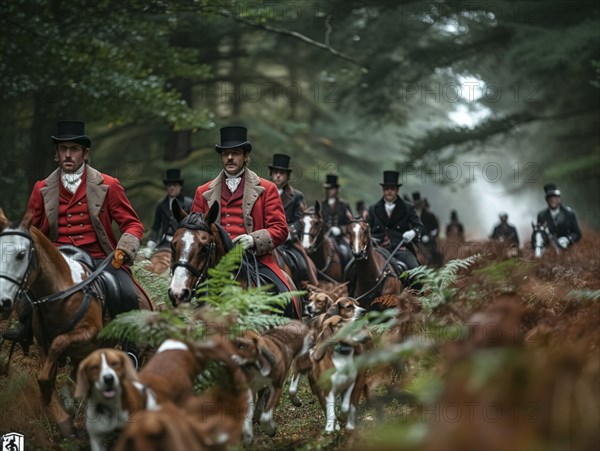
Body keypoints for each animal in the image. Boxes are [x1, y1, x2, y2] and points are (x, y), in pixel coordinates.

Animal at [0, 210, 154, 440]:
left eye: (20, 255)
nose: (3, 301)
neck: (59, 292)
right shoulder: (43, 344)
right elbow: (47, 375)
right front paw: (63, 418)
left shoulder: (90, 333)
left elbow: (59, 343)